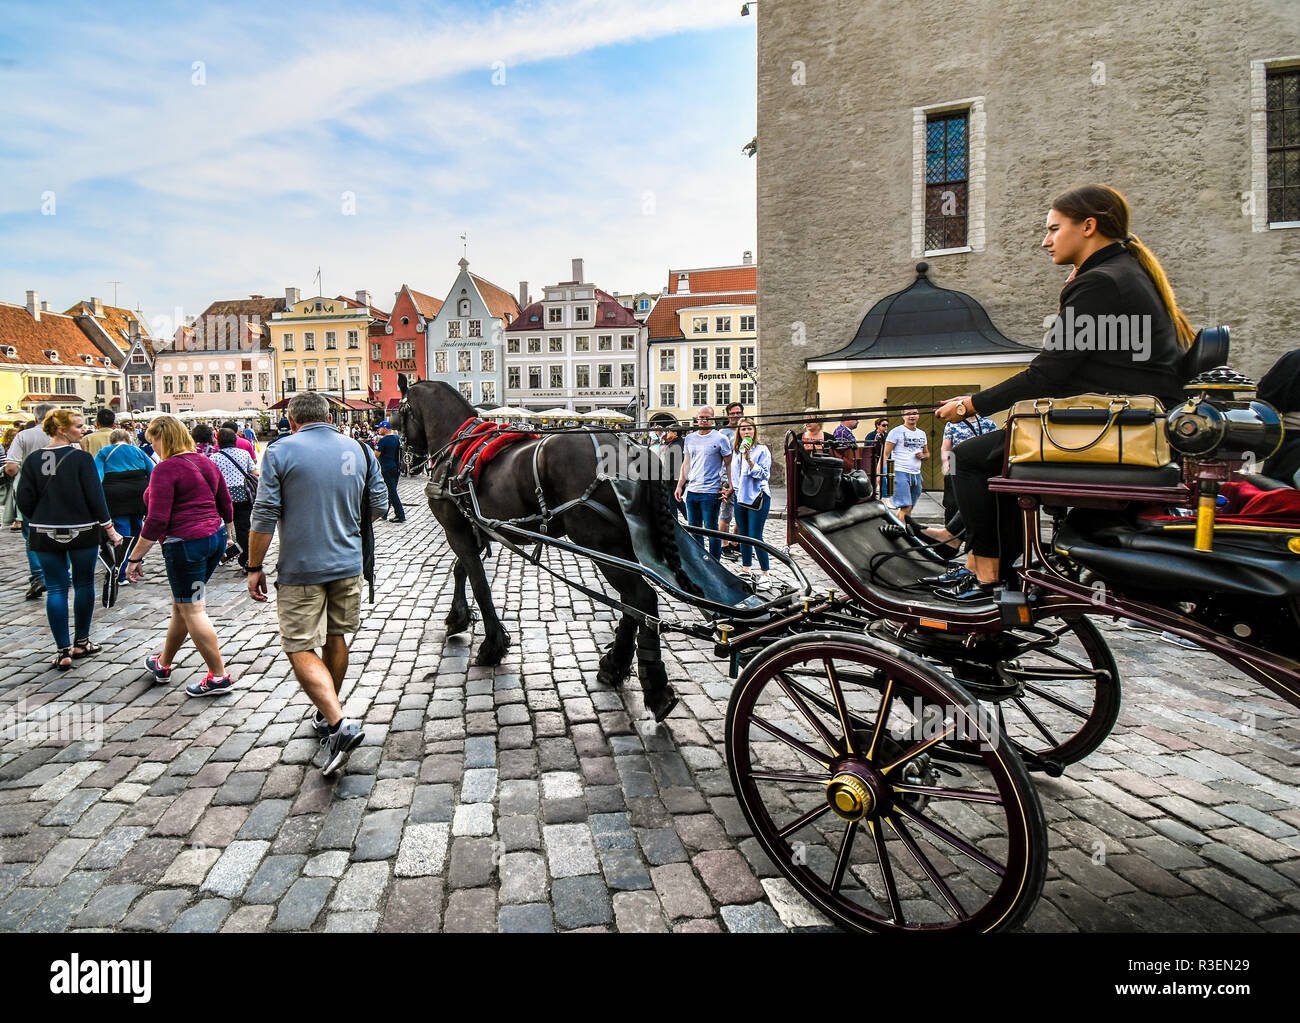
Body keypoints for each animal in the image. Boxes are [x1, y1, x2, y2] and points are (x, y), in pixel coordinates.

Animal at [390, 378, 682, 723]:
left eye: (397, 415)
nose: (408, 460)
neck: (456, 446)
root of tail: (633, 447)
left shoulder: (456, 531)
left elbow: (478, 583)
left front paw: (492, 645)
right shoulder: (474, 529)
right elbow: (461, 570)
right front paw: (458, 617)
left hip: (601, 542)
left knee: (641, 598)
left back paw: (654, 687)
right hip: (626, 543)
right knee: (632, 603)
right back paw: (615, 665)